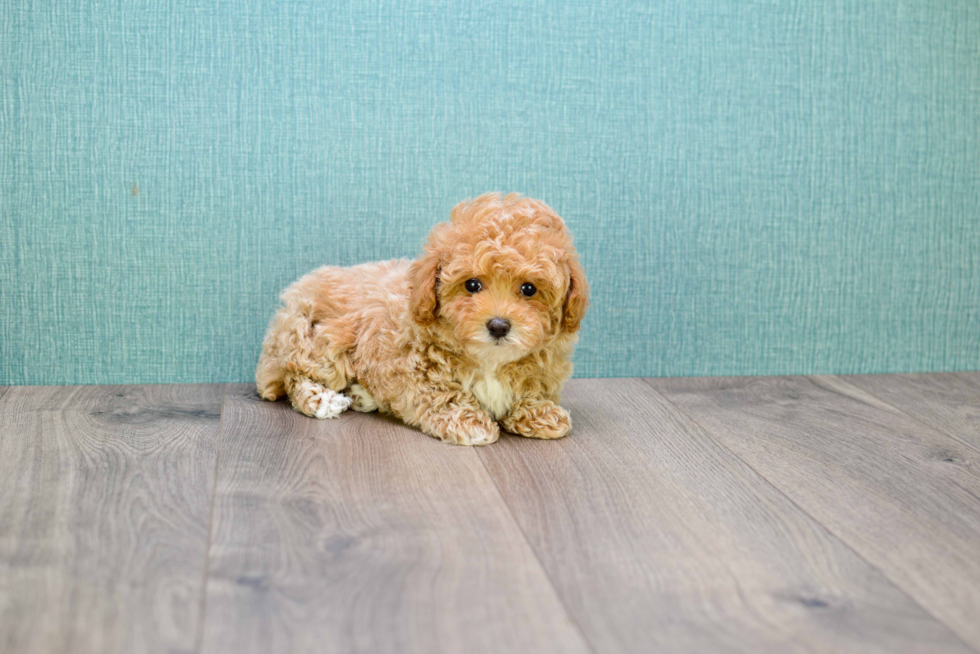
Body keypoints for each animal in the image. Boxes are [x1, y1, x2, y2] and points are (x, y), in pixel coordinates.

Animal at [255, 191, 588, 446]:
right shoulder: (416, 369)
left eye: (529, 289)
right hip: (319, 339)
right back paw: (323, 399)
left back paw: (363, 395)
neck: (490, 359)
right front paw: (469, 422)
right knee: (294, 375)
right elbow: (443, 394)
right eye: (472, 285)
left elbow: (530, 390)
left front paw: (539, 412)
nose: (498, 326)